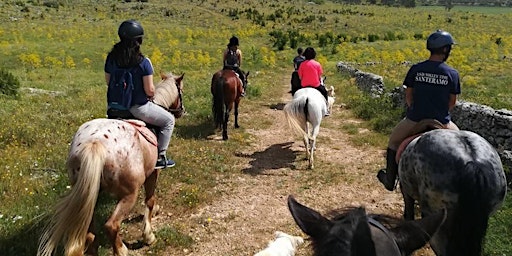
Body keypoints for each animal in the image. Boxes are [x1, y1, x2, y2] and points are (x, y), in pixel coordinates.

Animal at [38, 71, 186, 256]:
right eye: (181, 91)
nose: (182, 111)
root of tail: (94, 143)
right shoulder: (154, 172)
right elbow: (150, 200)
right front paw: (148, 236)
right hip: (129, 195)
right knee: (111, 225)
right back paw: (122, 249)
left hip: (89, 196)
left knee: (90, 234)